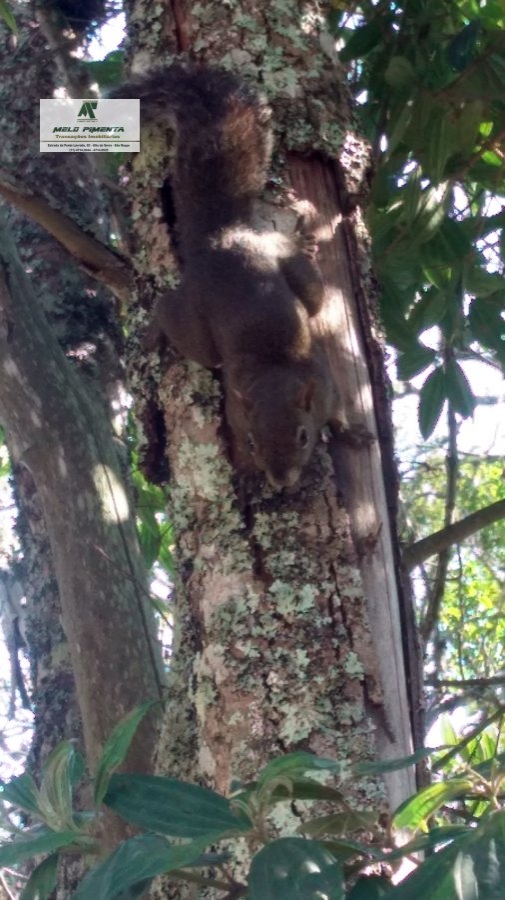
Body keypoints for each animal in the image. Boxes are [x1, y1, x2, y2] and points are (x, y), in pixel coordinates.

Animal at [112, 67, 336, 488]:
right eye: (250, 443)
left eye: (302, 436)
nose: (281, 480)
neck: (272, 369)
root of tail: (222, 239)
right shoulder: (237, 405)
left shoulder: (323, 381)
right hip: (200, 328)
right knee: (171, 310)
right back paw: (154, 329)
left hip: (285, 266)